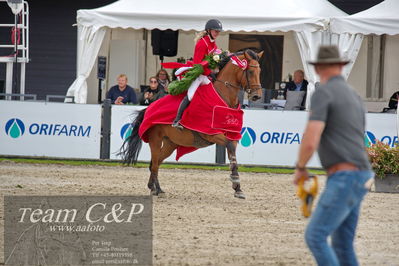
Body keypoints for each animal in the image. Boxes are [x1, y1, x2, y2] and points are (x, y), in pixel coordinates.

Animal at [121, 49, 266, 200]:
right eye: (250, 71)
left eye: (260, 71)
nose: (257, 96)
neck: (223, 97)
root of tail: (148, 108)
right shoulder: (211, 134)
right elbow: (230, 148)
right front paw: (236, 182)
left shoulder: (232, 135)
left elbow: (233, 154)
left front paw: (237, 188)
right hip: (155, 140)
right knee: (154, 164)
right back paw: (153, 189)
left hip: (170, 144)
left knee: (156, 163)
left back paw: (158, 188)